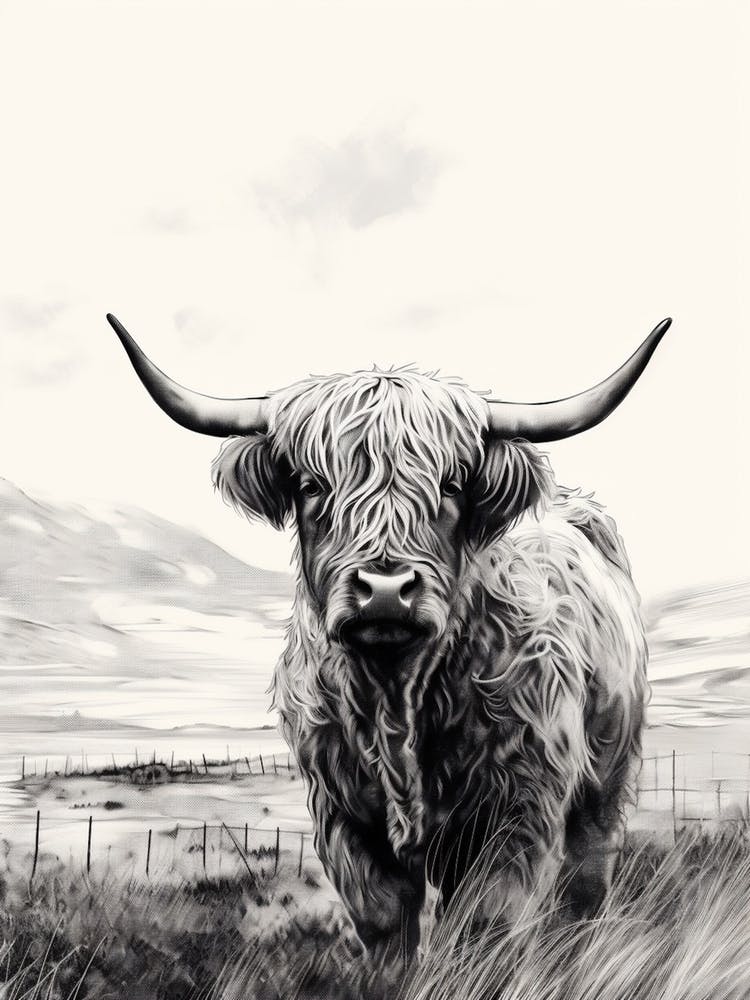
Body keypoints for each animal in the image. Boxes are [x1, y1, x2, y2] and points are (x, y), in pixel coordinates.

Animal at [106, 313, 670, 969]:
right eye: (311, 485)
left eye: (452, 484)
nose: (383, 590)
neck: (395, 697)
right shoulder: (344, 817)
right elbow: (383, 926)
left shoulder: (515, 810)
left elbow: (485, 927)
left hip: (607, 777)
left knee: (586, 882)